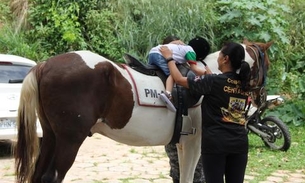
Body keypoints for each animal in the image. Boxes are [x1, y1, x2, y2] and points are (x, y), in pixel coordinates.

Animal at [14, 38, 270, 182]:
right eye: (266, 63)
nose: (261, 97)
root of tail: (45, 65)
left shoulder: (182, 144)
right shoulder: (194, 144)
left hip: (51, 137)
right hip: (69, 141)